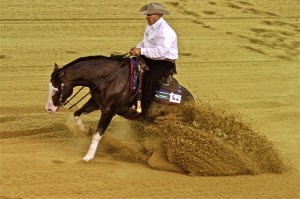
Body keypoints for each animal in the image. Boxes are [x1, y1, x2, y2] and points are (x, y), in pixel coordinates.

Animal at [45, 54, 193, 162]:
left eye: (57, 89)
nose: (49, 109)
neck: (109, 78)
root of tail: (191, 100)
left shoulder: (109, 110)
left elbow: (98, 134)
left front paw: (88, 156)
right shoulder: (96, 102)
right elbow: (76, 114)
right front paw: (85, 130)